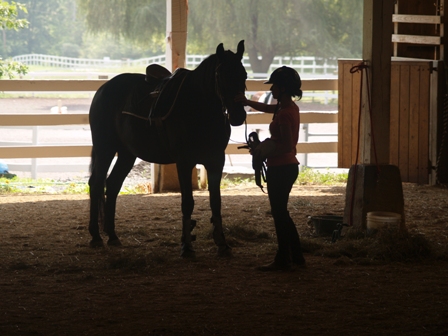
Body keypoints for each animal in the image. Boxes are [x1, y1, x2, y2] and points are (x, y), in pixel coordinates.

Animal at [87, 40, 248, 258]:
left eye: (244, 75)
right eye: (221, 76)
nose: (238, 115)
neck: (198, 107)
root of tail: (103, 89)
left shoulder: (216, 161)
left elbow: (216, 202)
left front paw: (222, 244)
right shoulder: (184, 162)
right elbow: (187, 202)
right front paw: (186, 246)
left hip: (127, 154)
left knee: (112, 185)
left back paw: (112, 236)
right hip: (105, 149)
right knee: (96, 184)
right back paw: (96, 237)